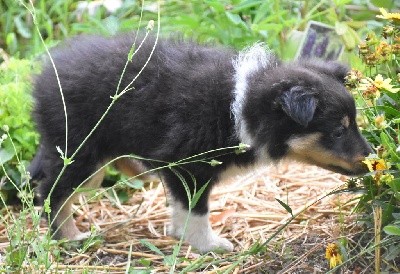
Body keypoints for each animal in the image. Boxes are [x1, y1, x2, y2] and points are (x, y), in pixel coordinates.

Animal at [30, 33, 372, 253]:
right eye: (338, 131)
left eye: (353, 124)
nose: (373, 160)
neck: (243, 106)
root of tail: (43, 78)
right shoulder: (186, 165)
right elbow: (194, 208)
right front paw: (206, 245)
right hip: (80, 152)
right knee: (52, 192)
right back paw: (69, 238)